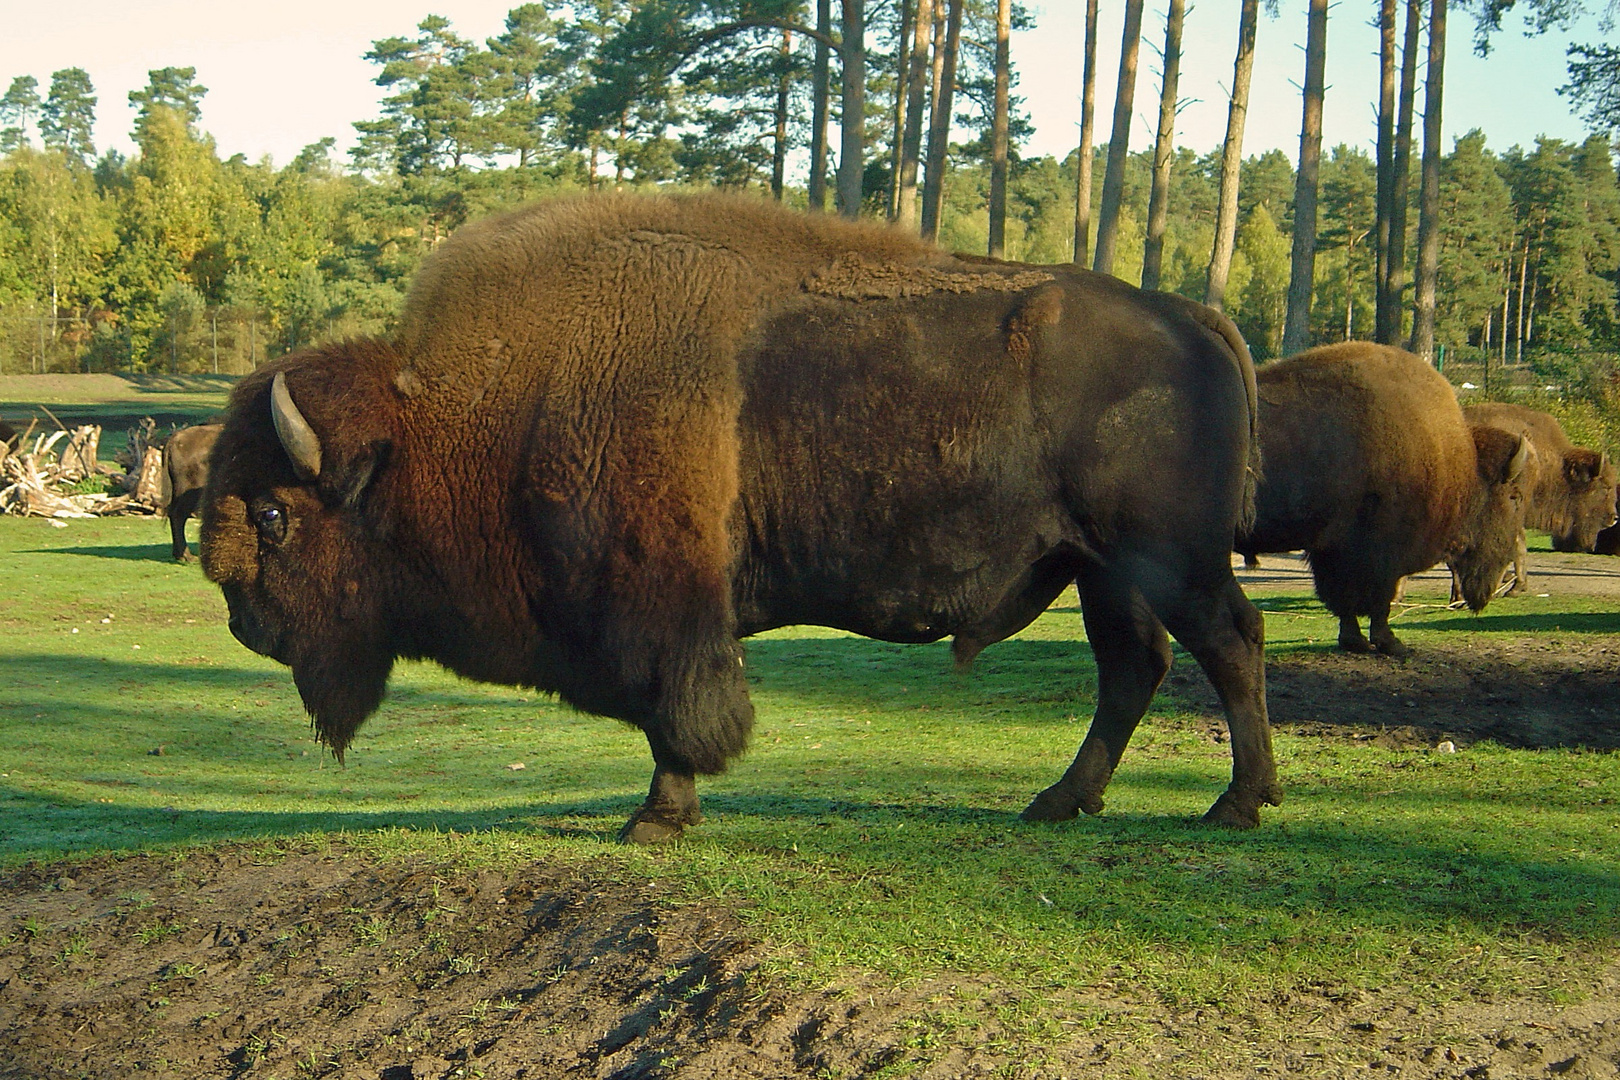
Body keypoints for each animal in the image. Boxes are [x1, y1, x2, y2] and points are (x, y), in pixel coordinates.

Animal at [199, 190, 1276, 841]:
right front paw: (661, 816)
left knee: (1229, 643)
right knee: (1135, 667)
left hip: (1166, 559)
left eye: (272, 515)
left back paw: (1237, 804)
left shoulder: (662, 609)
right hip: (1104, 569)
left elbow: (676, 712)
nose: (241, 621)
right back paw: (1059, 802)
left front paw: (653, 821)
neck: (459, 419)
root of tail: (1192, 317)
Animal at [1237, 341, 1529, 654]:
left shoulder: (1331, 552)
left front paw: (1356, 641)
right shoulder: (1377, 554)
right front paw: (1390, 643)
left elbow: (1344, 600)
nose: (1502, 572)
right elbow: (1376, 601)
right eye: (1513, 497)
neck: (1463, 466)